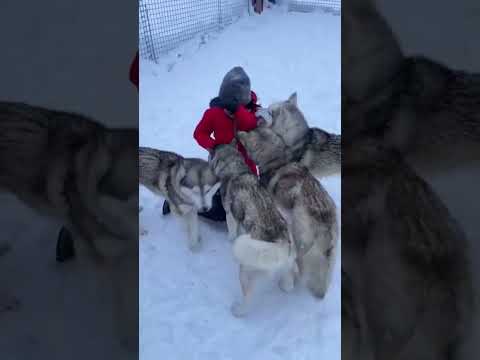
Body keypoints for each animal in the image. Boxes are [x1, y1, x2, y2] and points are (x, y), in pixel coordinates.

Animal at [210, 142, 296, 316]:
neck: (236, 169)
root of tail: (280, 244)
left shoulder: (230, 214)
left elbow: (231, 232)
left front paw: (229, 239)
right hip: (287, 267)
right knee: (288, 284)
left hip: (246, 273)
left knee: (247, 297)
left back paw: (238, 310)